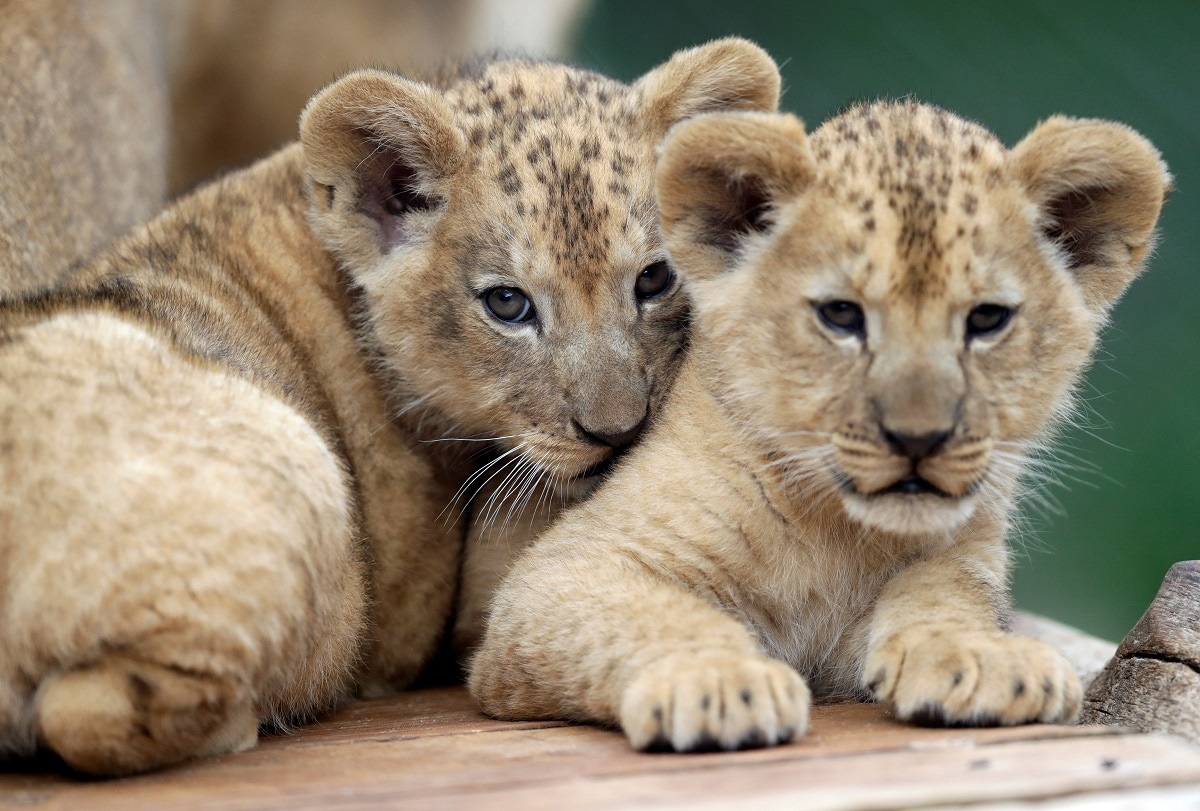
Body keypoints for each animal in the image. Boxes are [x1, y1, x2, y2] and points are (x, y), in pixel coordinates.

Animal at [468, 103, 1171, 753]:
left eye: (987, 319)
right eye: (840, 315)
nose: (918, 440)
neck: (839, 532)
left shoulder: (959, 553)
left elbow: (950, 589)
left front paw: (981, 656)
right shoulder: (561, 572)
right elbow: (654, 613)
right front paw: (720, 680)